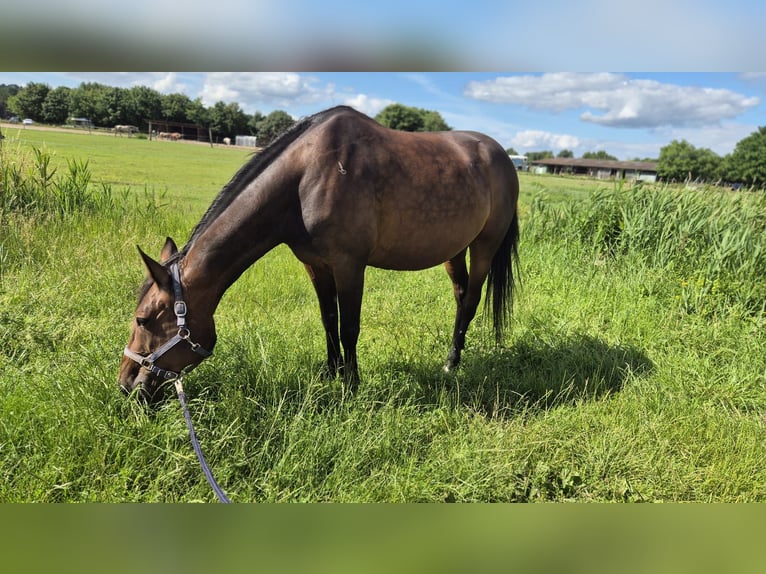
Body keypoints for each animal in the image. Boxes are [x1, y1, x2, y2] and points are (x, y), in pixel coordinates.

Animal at [118, 107, 520, 404]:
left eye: (143, 319)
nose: (126, 384)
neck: (308, 175)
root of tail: (501, 155)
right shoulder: (315, 264)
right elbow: (328, 320)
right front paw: (332, 374)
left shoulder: (349, 265)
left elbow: (349, 327)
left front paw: (352, 385)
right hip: (455, 250)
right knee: (460, 296)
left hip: (485, 245)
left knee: (471, 300)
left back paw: (452, 364)